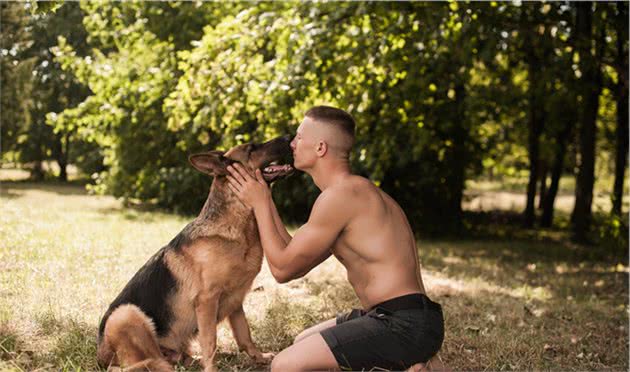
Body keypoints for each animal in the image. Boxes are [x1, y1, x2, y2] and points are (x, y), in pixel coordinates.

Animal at [97, 137, 296, 372]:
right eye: (251, 148)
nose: (288, 137)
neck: (236, 225)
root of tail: (101, 356)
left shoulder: (236, 301)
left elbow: (245, 334)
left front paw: (259, 357)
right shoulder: (207, 301)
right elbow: (210, 341)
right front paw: (212, 368)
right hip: (125, 314)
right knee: (150, 361)